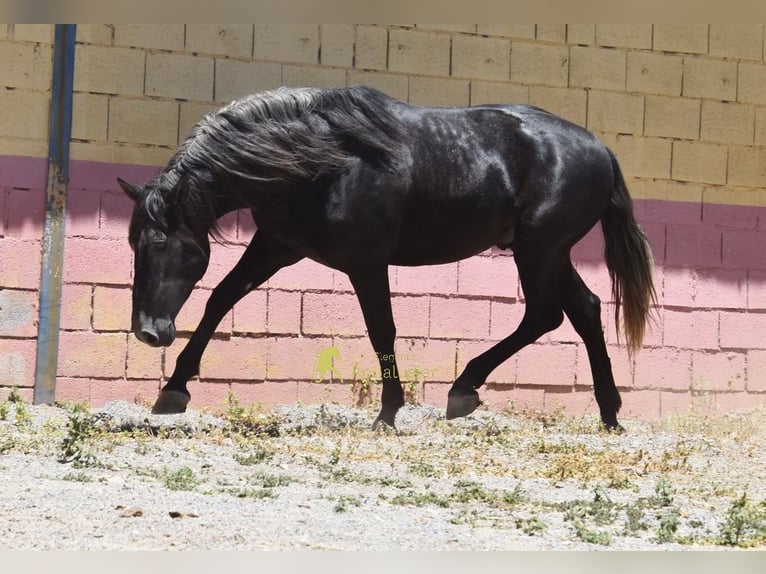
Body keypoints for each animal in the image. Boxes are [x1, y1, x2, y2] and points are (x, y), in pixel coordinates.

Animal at [118, 85, 657, 431]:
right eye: (134, 245)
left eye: (164, 244)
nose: (148, 331)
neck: (321, 161)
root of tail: (600, 149)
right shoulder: (275, 247)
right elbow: (221, 299)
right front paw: (173, 390)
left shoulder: (366, 262)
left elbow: (382, 330)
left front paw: (388, 413)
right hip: (548, 253)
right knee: (584, 309)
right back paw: (609, 415)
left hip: (539, 250)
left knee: (545, 315)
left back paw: (464, 388)